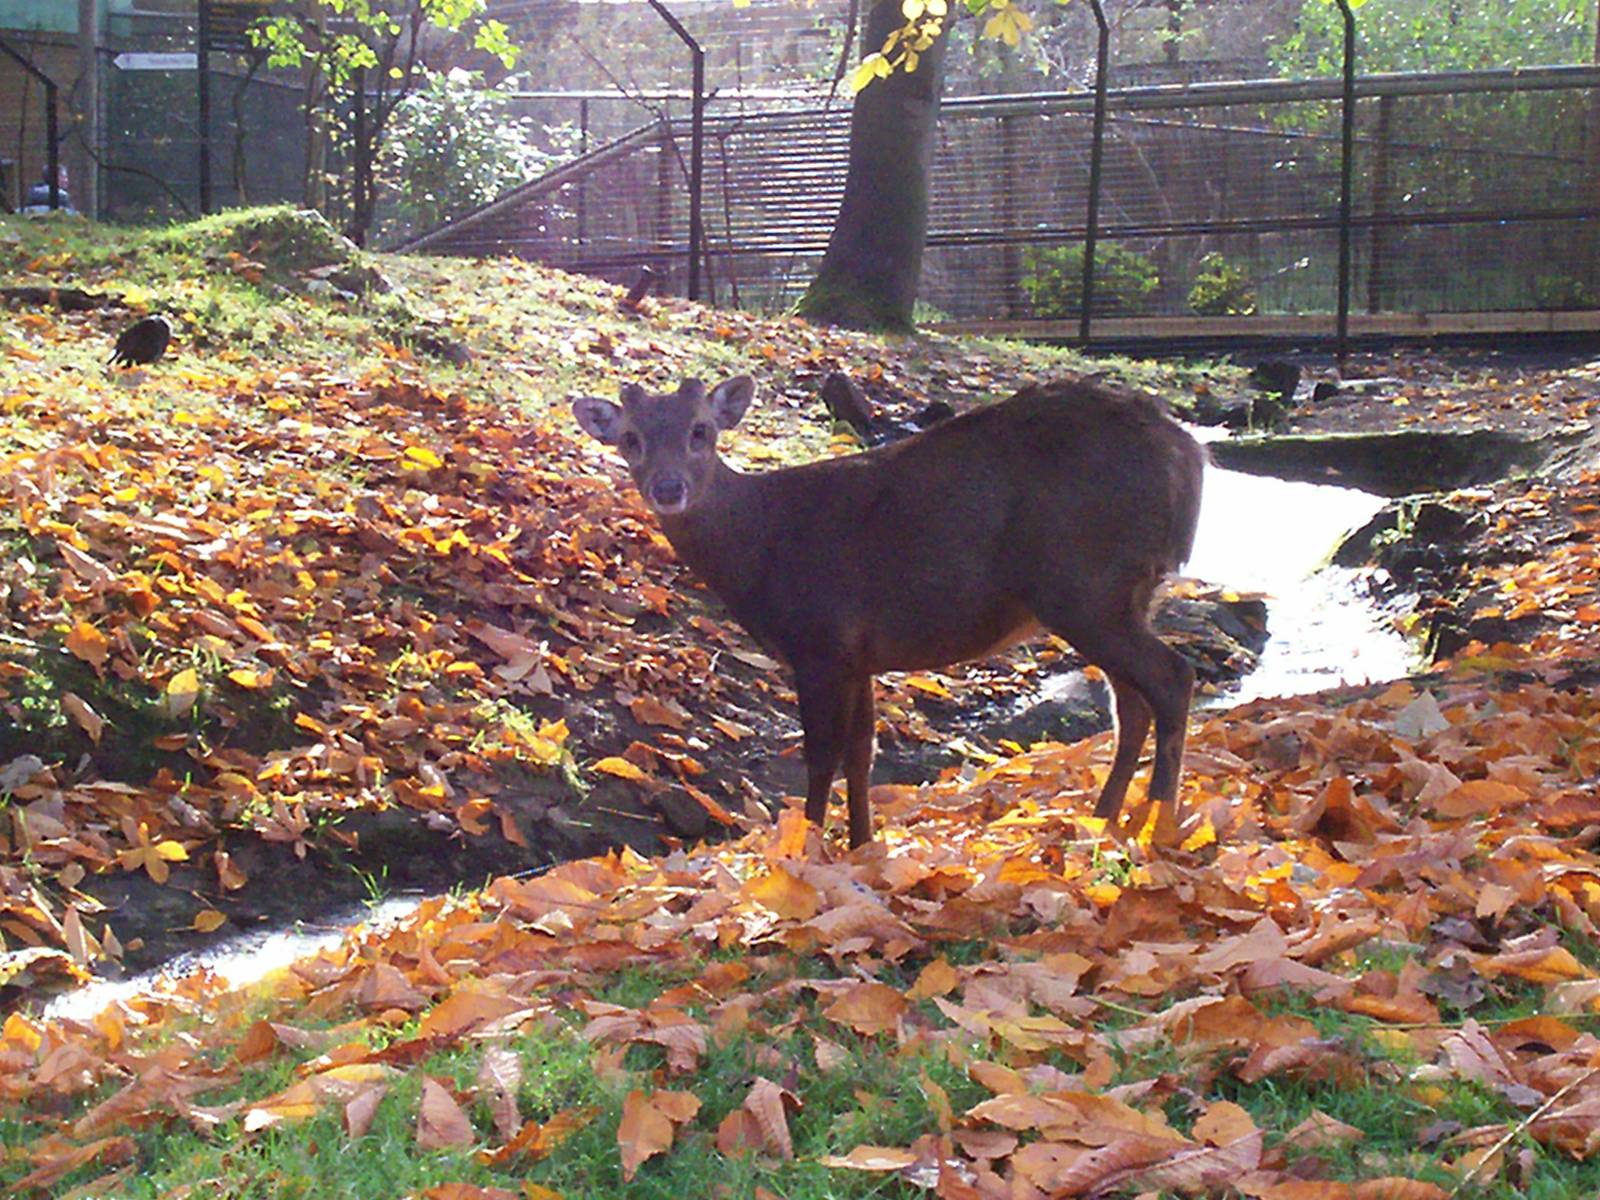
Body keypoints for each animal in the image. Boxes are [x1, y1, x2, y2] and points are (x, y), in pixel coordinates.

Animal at [571, 375, 1206, 848]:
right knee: (1132, 703)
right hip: (1117, 595)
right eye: (630, 438)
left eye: (700, 430)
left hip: (1086, 584)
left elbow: (822, 755)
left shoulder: (821, 641)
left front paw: (806, 848)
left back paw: (1159, 824)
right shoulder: (860, 656)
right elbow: (863, 755)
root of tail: (1187, 455)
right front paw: (862, 845)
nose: (668, 488)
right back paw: (1102, 818)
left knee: (1173, 677)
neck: (761, 549)